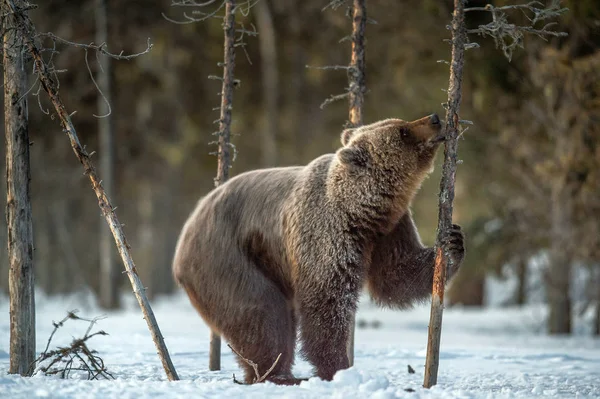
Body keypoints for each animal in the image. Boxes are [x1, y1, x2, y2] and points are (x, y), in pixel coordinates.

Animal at [171, 112, 466, 384]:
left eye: (400, 122)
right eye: (403, 131)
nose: (435, 118)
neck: (361, 211)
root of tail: (188, 226)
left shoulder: (388, 230)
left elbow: (396, 275)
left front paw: (452, 241)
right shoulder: (325, 233)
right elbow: (326, 300)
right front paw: (338, 367)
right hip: (226, 257)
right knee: (262, 311)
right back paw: (276, 374)